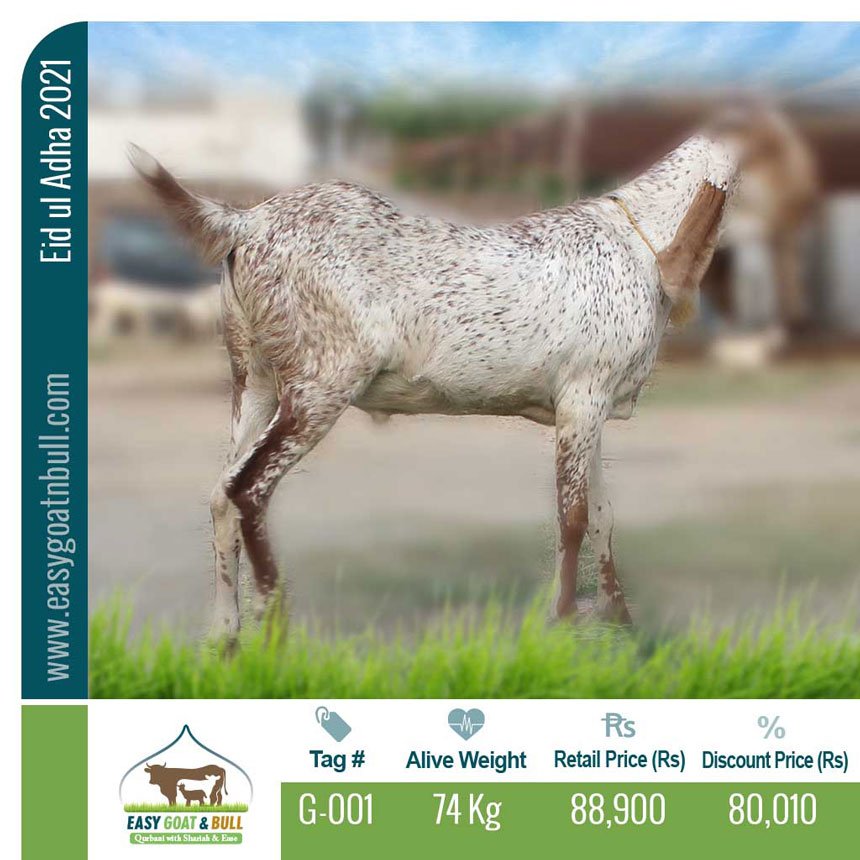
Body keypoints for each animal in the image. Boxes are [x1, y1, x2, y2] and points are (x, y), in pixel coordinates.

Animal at [130, 109, 775, 639]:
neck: (640, 243)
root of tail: (246, 224)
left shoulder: (589, 409)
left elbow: (603, 515)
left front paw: (620, 620)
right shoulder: (582, 396)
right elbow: (572, 517)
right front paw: (563, 623)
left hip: (255, 380)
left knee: (220, 492)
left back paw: (226, 635)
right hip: (320, 386)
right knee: (248, 489)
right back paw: (277, 624)